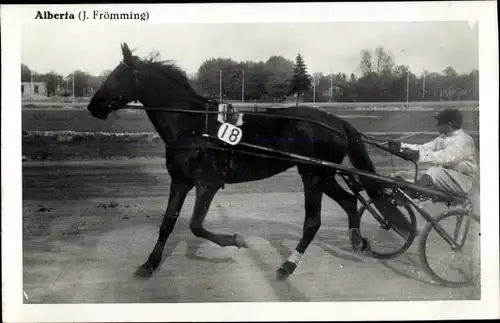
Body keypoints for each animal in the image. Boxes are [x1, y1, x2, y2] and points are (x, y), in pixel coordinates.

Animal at [86, 43, 408, 280]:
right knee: (350, 201)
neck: (195, 126)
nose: (92, 106)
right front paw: (149, 264)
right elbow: (167, 223)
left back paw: (288, 265)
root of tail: (335, 120)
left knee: (313, 222)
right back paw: (356, 240)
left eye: (115, 76)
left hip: (314, 175)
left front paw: (236, 240)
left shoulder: (208, 183)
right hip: (323, 174)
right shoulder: (180, 180)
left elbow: (195, 225)